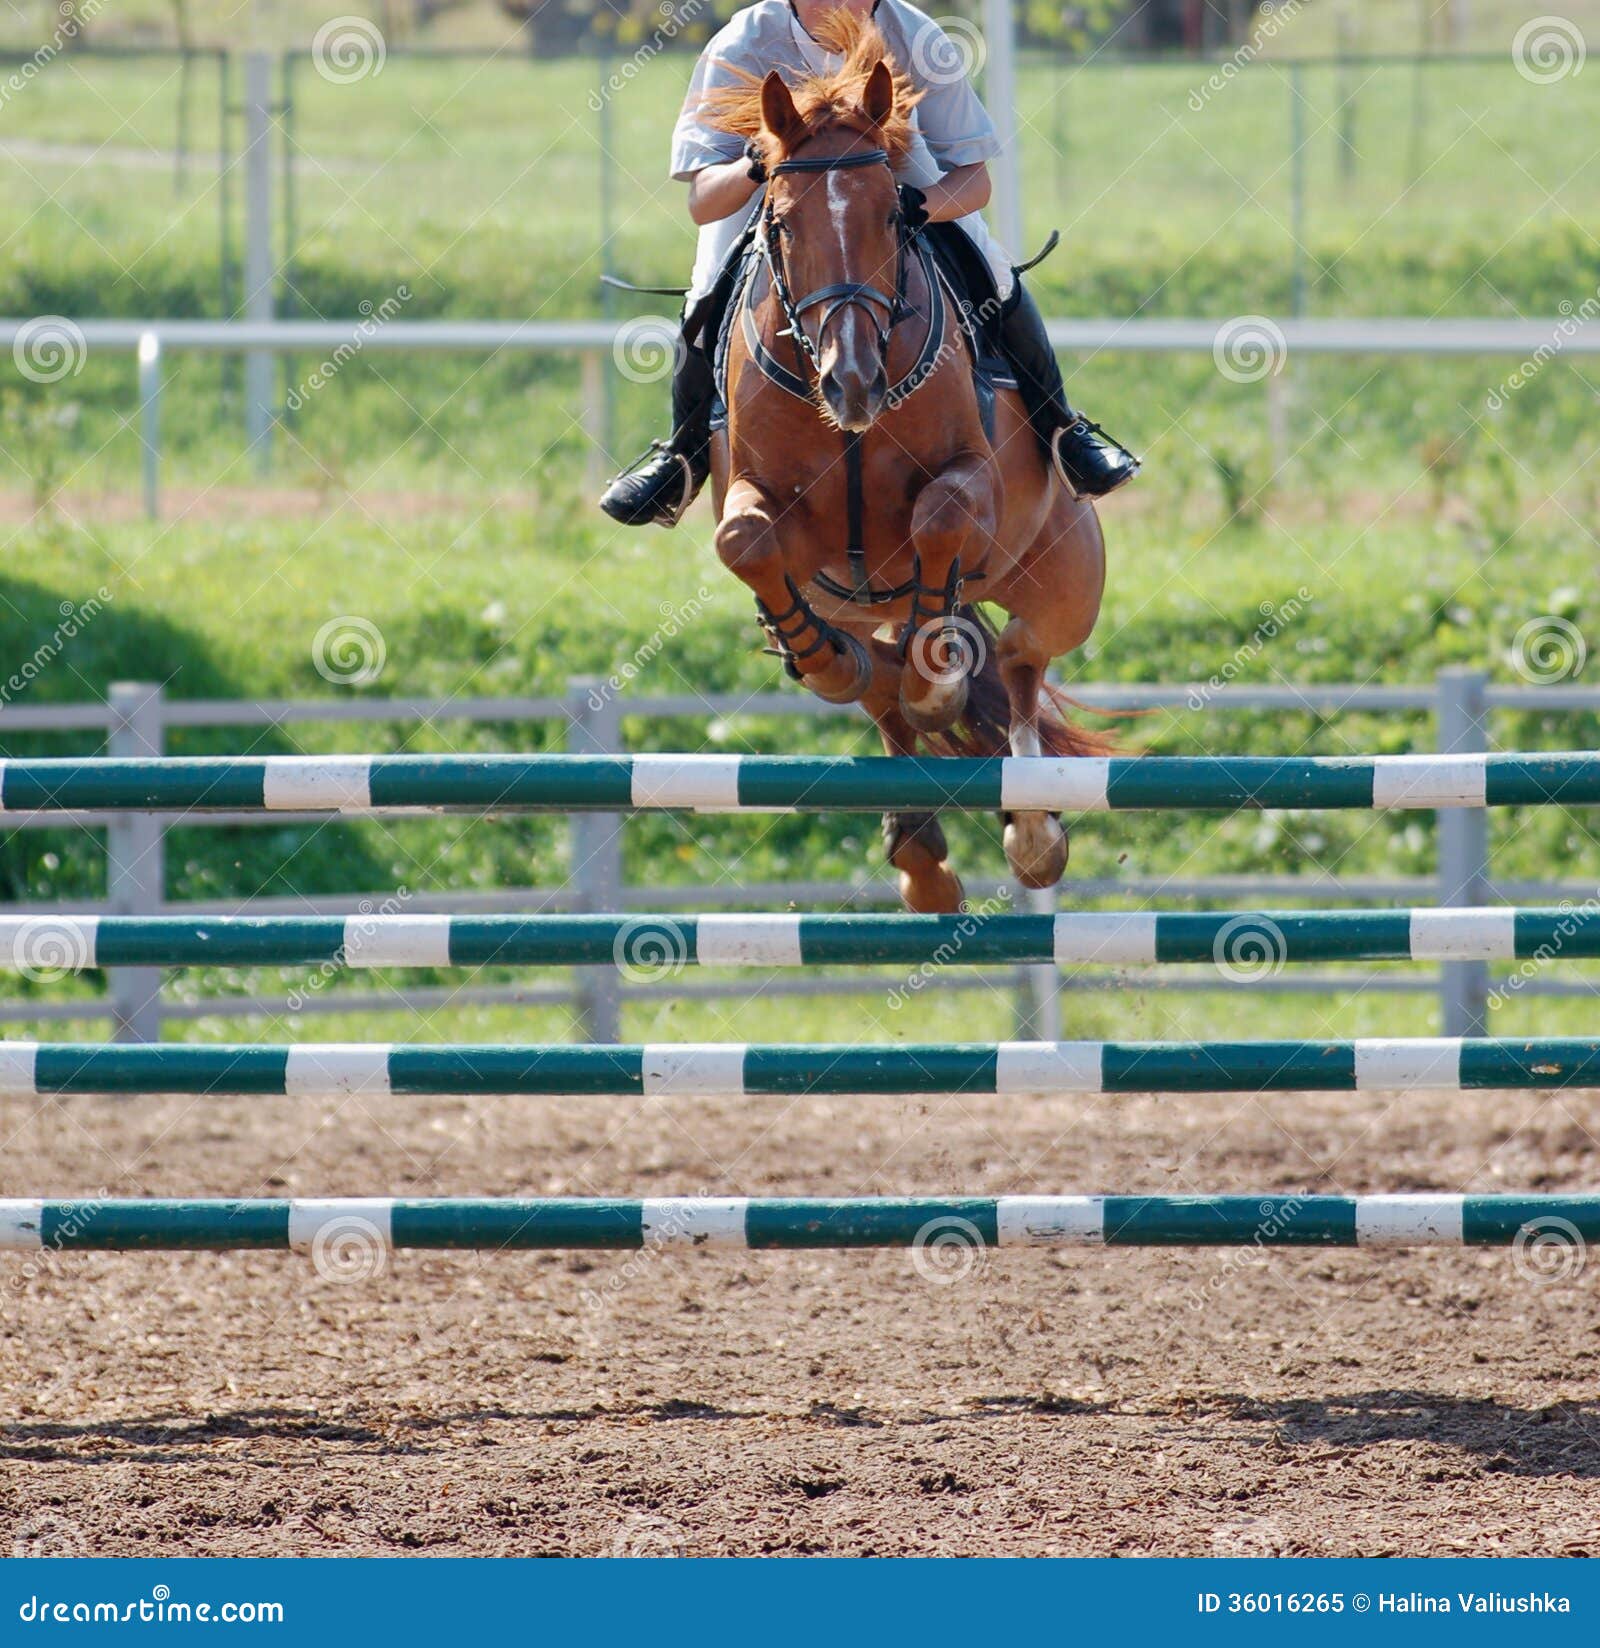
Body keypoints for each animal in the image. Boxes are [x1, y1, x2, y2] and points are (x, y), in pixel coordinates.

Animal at [704, 22, 1107, 914]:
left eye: (894, 214)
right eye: (781, 223)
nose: (851, 383)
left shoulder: (970, 486)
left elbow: (940, 519)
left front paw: (935, 682)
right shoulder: (764, 504)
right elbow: (746, 542)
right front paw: (826, 660)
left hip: (1064, 582)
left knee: (1021, 659)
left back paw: (1031, 829)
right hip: (862, 604)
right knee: (882, 695)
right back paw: (919, 851)